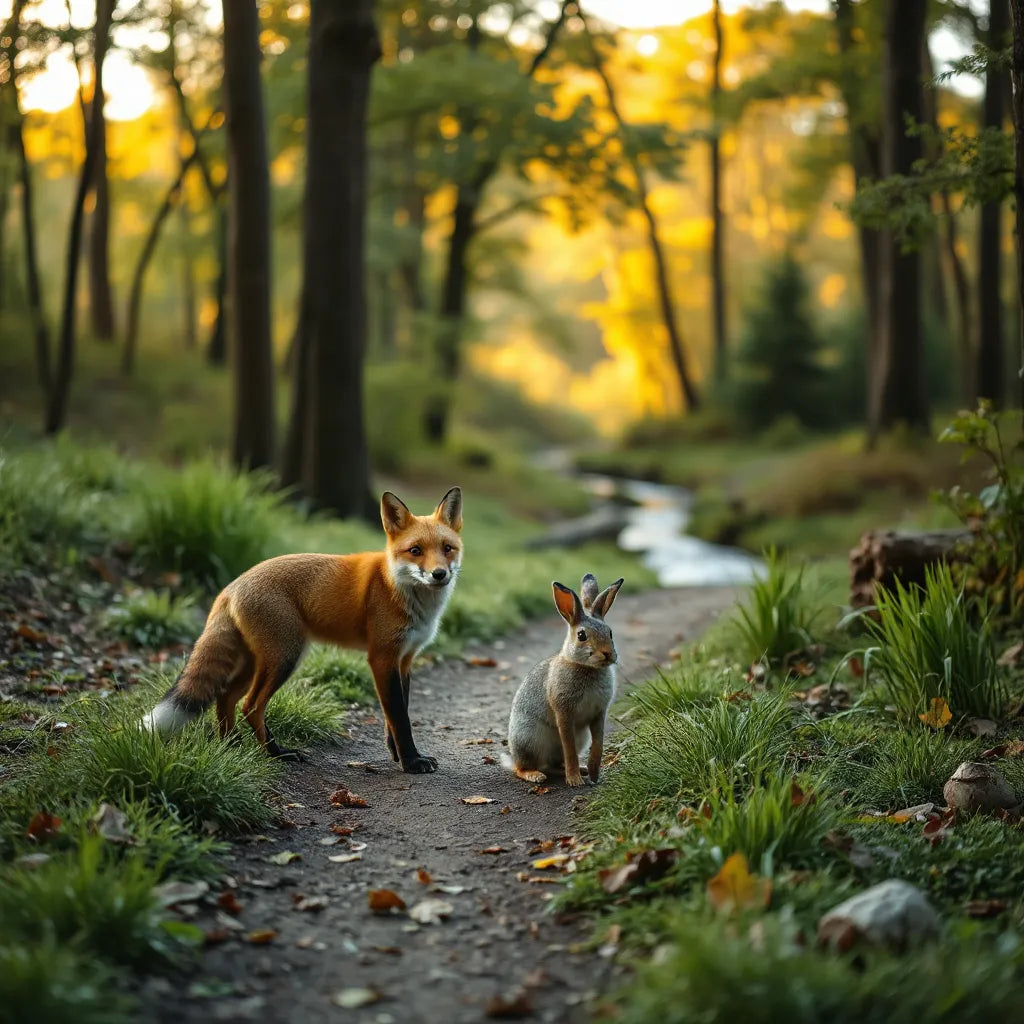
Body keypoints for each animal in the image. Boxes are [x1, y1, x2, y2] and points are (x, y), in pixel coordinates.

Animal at [140, 487, 463, 773]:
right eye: (415, 551)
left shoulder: (404, 659)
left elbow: (396, 715)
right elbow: (399, 718)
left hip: (254, 663)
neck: (397, 587)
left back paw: (231, 746)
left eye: (447, 549)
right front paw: (411, 763)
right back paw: (275, 754)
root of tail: (231, 586)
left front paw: (399, 756)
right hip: (285, 658)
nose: (439, 574)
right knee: (250, 706)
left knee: (226, 696)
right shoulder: (382, 658)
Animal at [505, 573, 623, 787]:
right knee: (521, 768)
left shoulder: (598, 713)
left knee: (554, 764)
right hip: (528, 738)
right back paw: (536, 775)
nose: (608, 654)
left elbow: (598, 744)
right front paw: (575, 781)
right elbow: (569, 748)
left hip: (578, 738)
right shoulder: (564, 712)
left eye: (610, 632)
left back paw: (581, 770)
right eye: (581, 635)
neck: (586, 667)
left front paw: (594, 774)